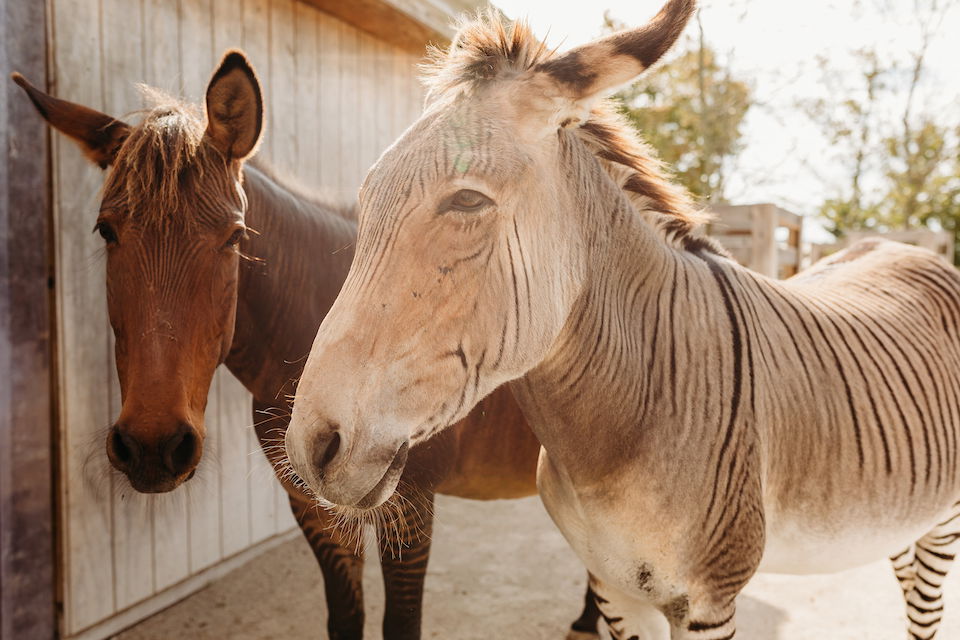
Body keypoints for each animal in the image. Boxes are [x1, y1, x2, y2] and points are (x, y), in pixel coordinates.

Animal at [11, 52, 600, 636]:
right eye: (106, 230)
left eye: (235, 236)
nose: (153, 447)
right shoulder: (313, 504)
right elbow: (344, 617)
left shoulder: (409, 505)